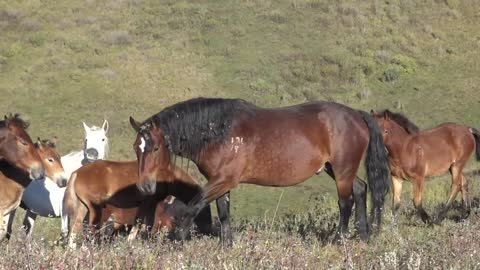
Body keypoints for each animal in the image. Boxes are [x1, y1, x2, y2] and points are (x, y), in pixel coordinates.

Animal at [62, 159, 213, 248]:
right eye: (204, 211)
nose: (209, 231)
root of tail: (77, 172)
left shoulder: (151, 204)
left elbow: (145, 223)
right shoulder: (149, 202)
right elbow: (141, 222)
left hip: (83, 207)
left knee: (75, 228)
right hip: (95, 208)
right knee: (91, 229)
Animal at [129, 98, 392, 246]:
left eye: (154, 148)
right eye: (136, 148)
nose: (145, 186)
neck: (220, 132)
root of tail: (357, 115)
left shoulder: (223, 180)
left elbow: (194, 206)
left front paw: (177, 241)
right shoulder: (221, 182)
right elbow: (224, 214)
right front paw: (226, 246)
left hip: (342, 169)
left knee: (345, 202)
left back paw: (339, 240)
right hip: (336, 169)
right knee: (361, 189)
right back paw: (363, 235)